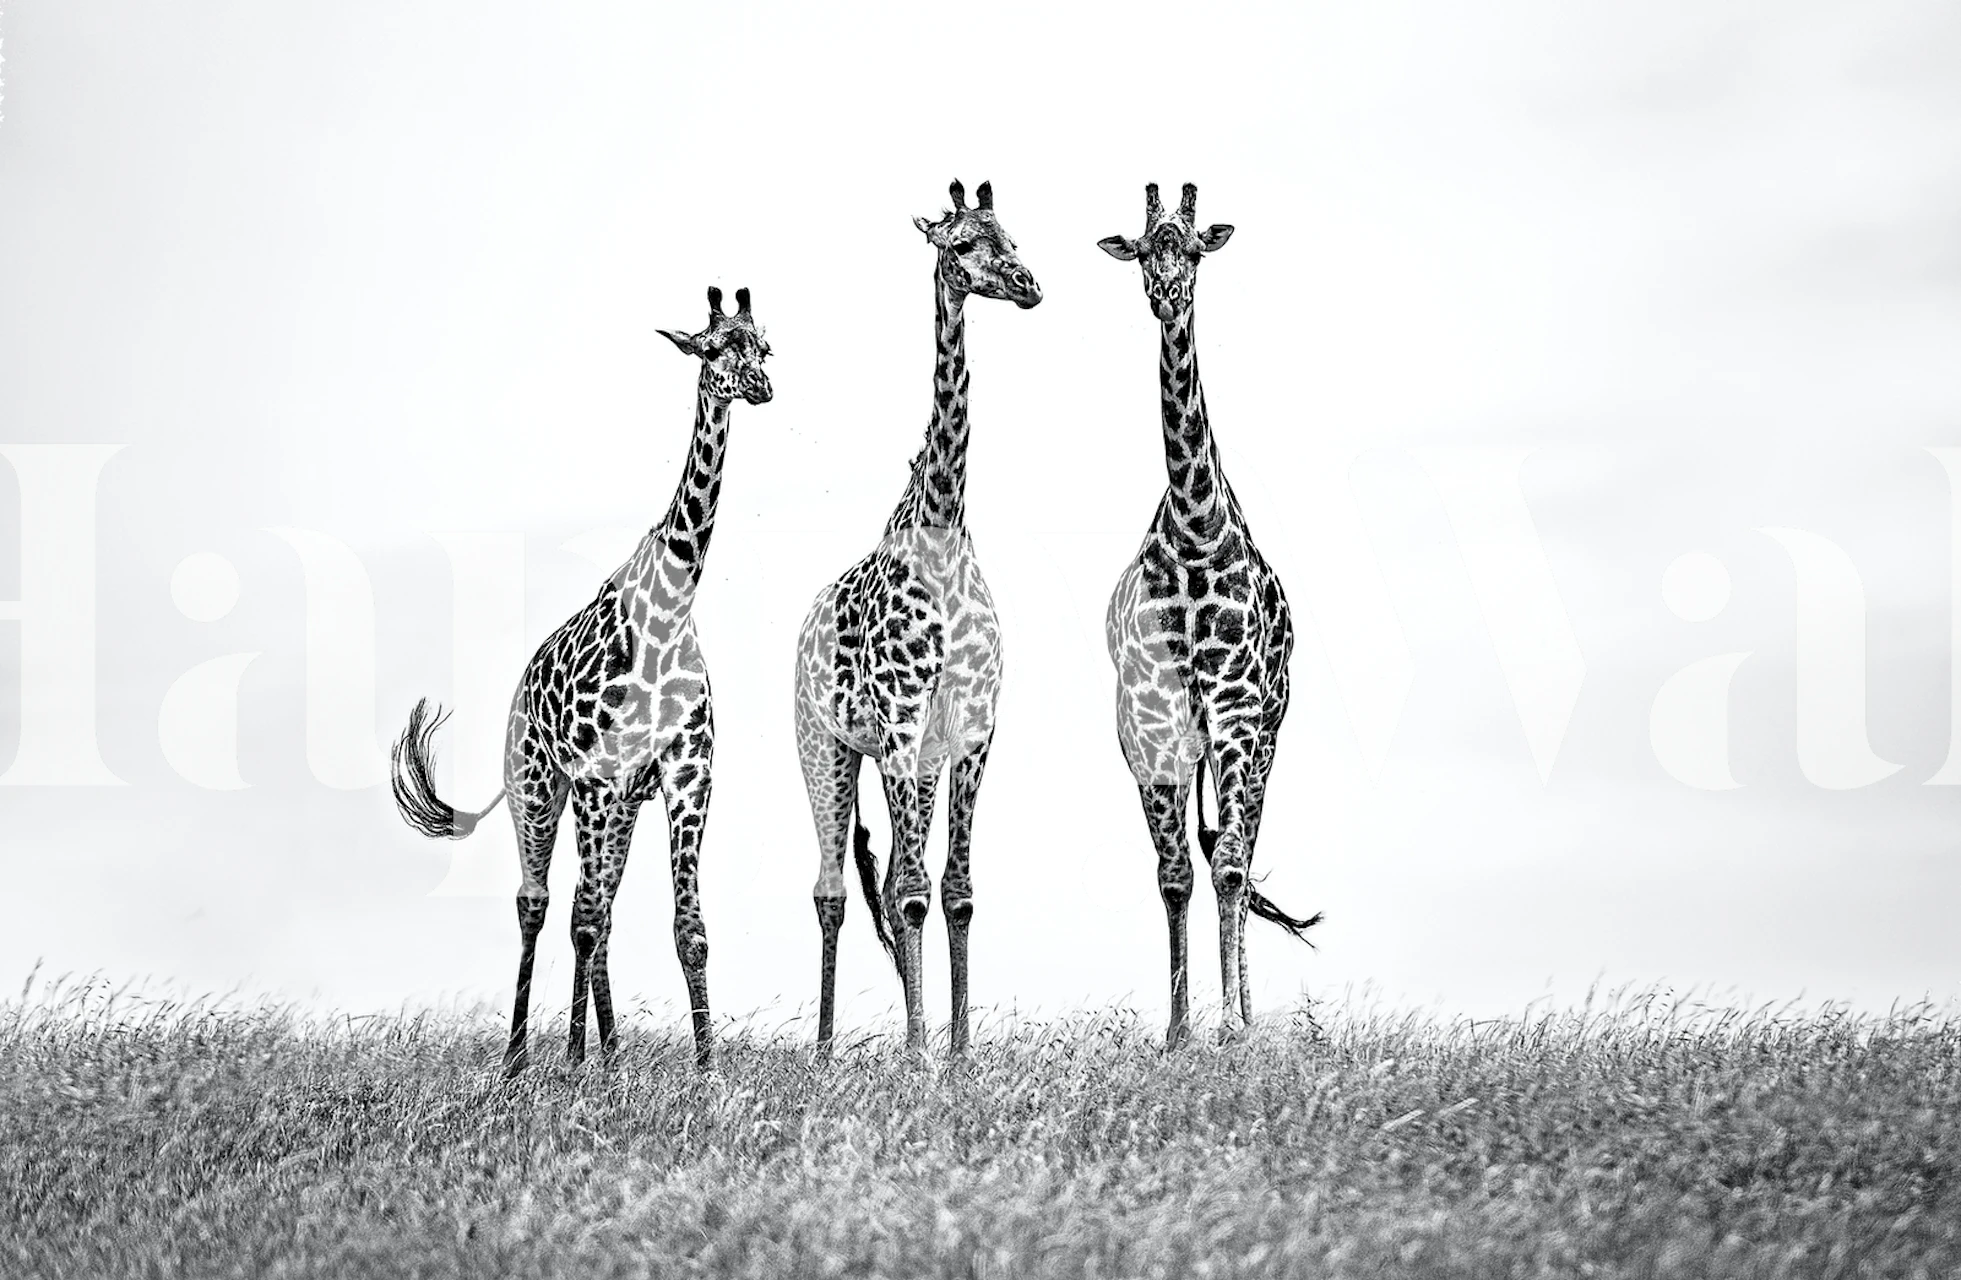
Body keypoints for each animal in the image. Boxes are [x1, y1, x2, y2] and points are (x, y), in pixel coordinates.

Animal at [390, 285, 773, 1075]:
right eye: (714, 347)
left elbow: (688, 927)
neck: (670, 607)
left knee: (593, 907)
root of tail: (517, 693)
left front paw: (706, 1070)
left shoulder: (685, 775)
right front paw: (572, 1064)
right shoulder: (597, 778)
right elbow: (583, 917)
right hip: (539, 788)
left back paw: (608, 1051)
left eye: (764, 346)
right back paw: (521, 1059)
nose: (760, 387)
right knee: (541, 904)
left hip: (616, 805)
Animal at [794, 178, 1041, 1057]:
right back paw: (827, 1047)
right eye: (962, 245)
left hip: (912, 763)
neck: (941, 526)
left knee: (901, 877)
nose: (1030, 286)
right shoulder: (898, 724)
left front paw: (958, 1048)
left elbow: (955, 889)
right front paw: (915, 1052)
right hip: (826, 747)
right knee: (833, 888)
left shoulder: (969, 729)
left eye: (1012, 235)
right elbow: (905, 891)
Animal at [1098, 183, 1322, 1049]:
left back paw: (1249, 1016)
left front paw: (1229, 1027)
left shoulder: (1234, 708)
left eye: (1192, 248)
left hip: (1266, 732)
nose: (1166, 293)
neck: (1196, 528)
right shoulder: (1151, 721)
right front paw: (1177, 1031)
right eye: (1140, 248)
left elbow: (1227, 864)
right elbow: (1173, 875)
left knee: (1240, 848)